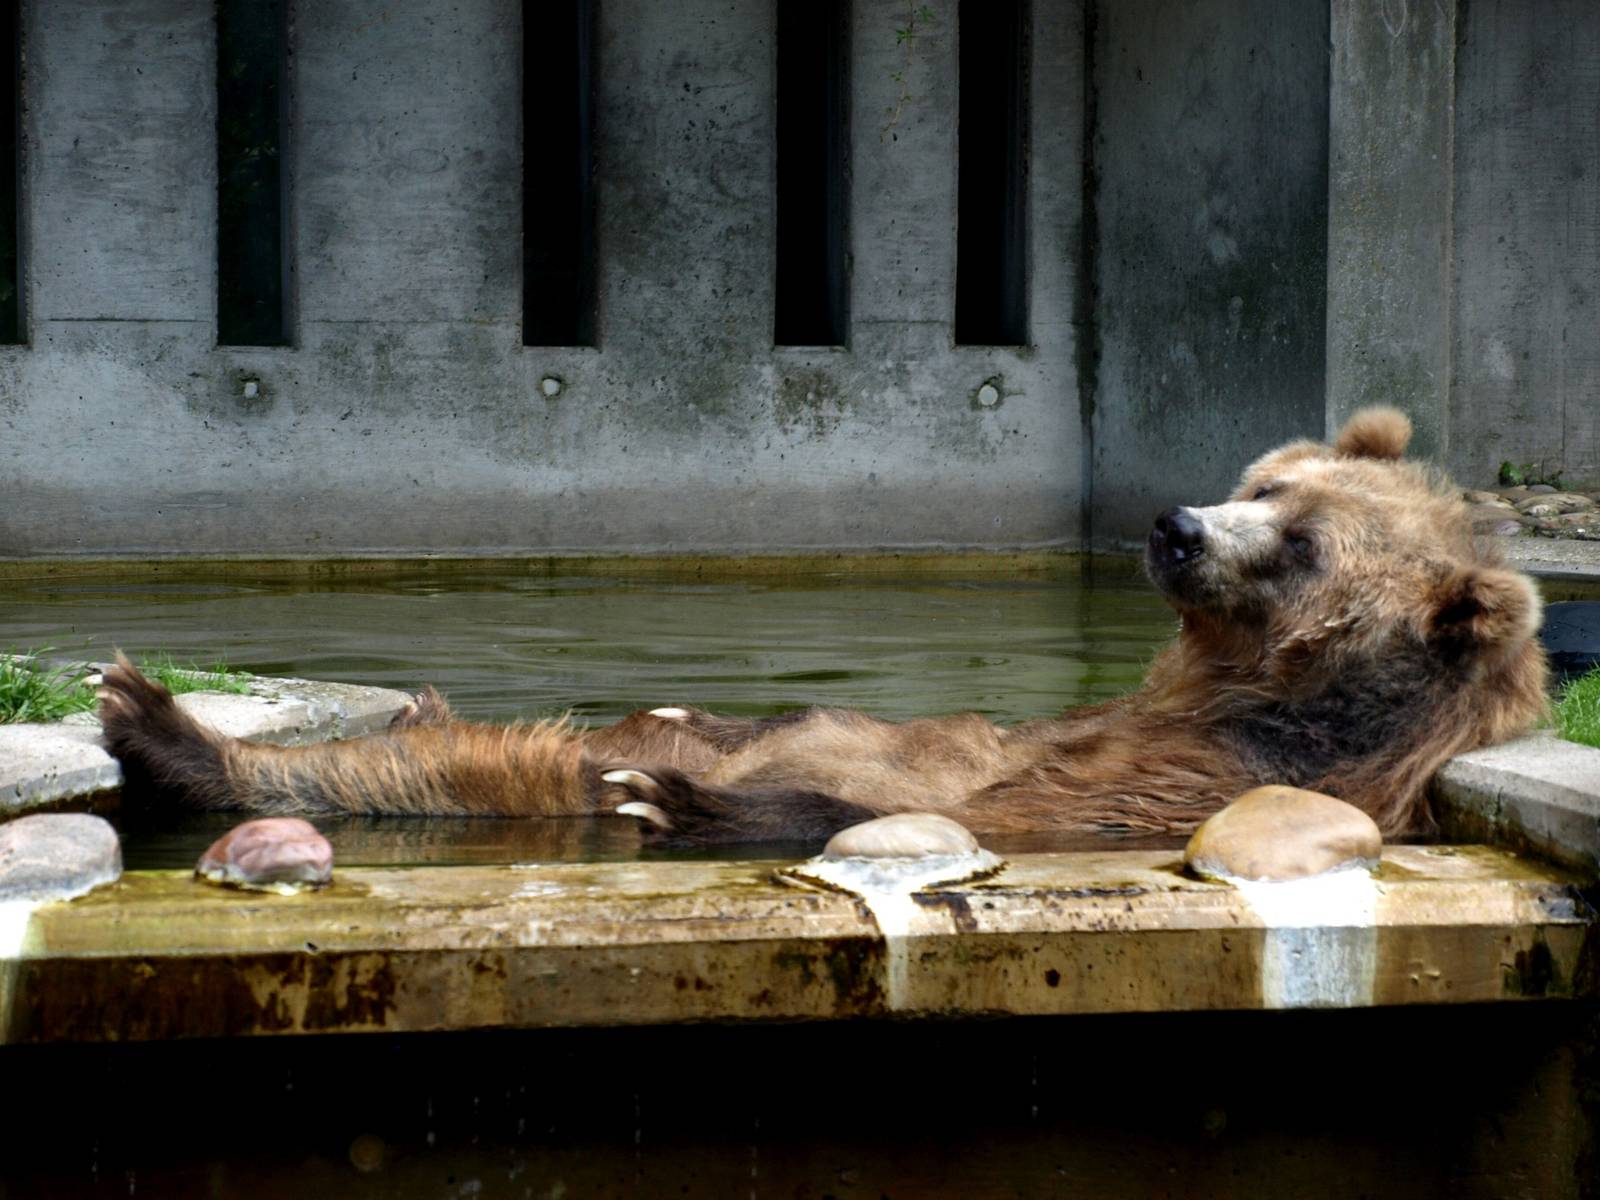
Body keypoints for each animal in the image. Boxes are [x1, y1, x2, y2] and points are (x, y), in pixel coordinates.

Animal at [97, 407, 1548, 845]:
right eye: (1268, 480)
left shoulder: (1205, 778)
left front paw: (681, 801)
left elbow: (956, 808)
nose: (1176, 526)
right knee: (428, 758)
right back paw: (162, 718)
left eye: (1299, 547)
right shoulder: (1098, 723)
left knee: (479, 774)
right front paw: (685, 729)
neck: (1238, 691)